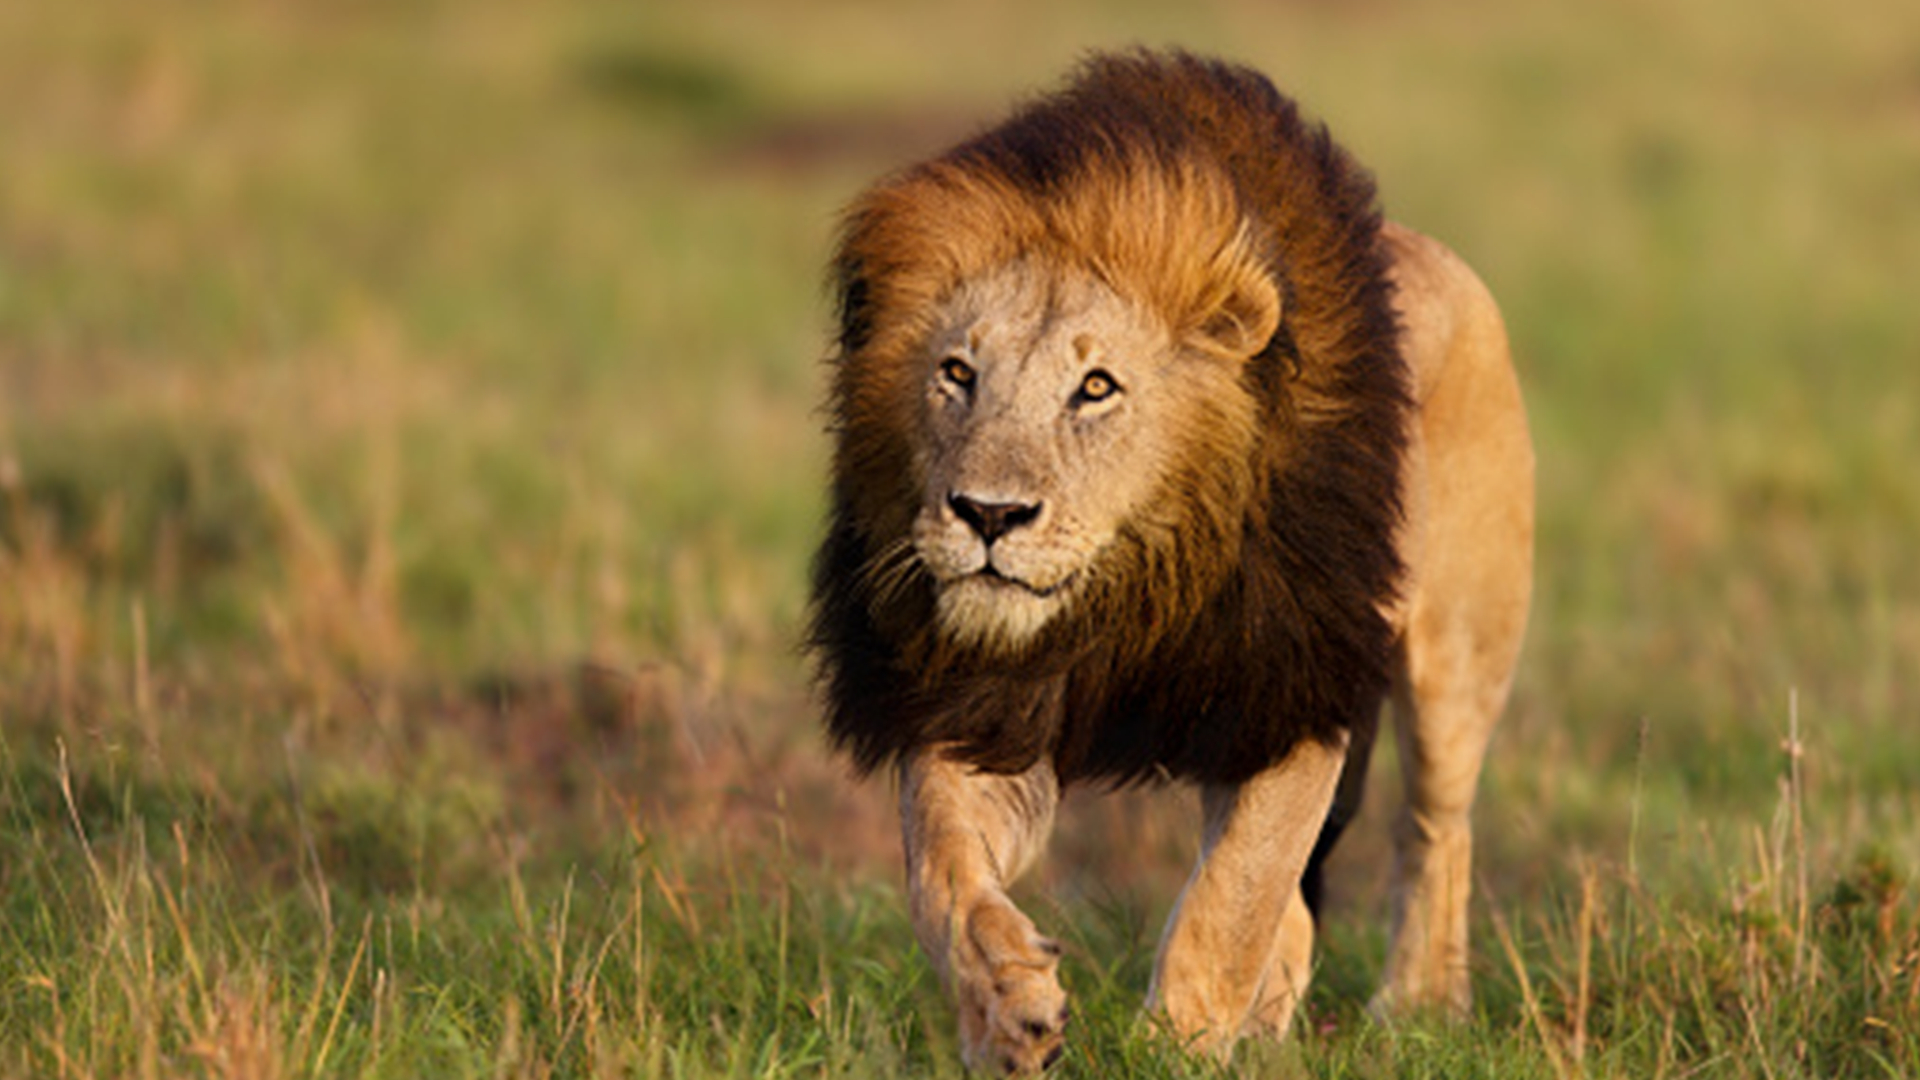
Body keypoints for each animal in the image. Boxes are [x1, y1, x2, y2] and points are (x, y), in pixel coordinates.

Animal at [806, 52, 1528, 1068]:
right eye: (956, 374)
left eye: (1095, 387)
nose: (988, 514)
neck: (1133, 585)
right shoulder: (979, 705)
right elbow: (942, 875)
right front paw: (1006, 1010)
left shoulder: (1290, 694)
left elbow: (1230, 906)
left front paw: (1173, 1048)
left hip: (1458, 658)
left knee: (1434, 829)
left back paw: (1419, 1008)